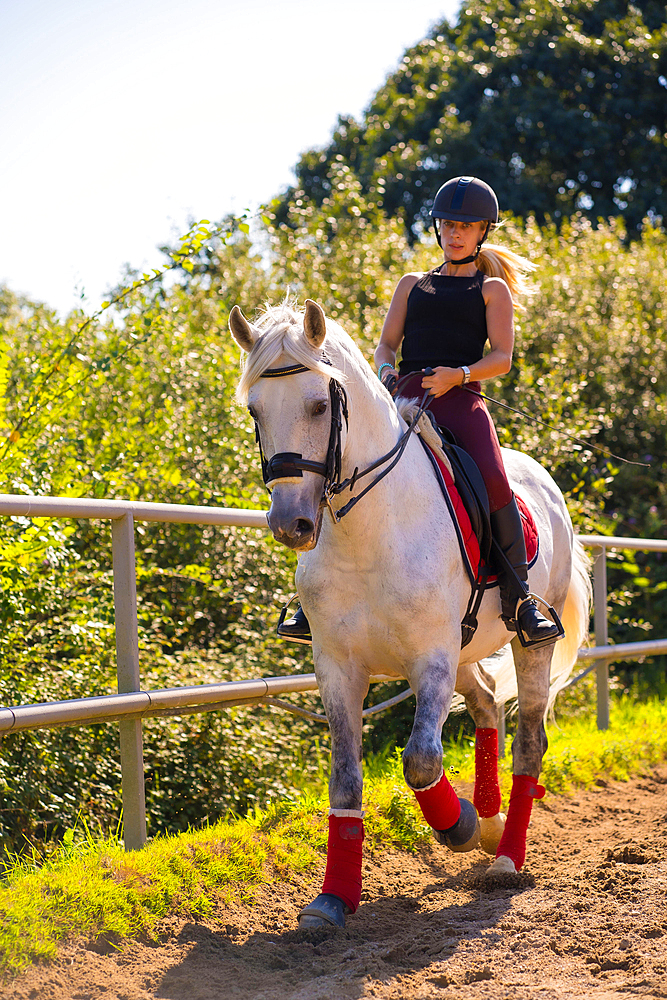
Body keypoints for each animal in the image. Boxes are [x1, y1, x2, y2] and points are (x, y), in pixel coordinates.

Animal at [228, 296, 588, 928]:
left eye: (319, 404)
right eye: (255, 410)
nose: (291, 524)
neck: (368, 535)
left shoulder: (431, 660)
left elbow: (420, 760)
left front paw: (458, 826)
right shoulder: (338, 668)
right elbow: (345, 781)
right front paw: (332, 901)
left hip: (526, 645)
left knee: (529, 740)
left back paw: (504, 856)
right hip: (467, 650)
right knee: (488, 706)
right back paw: (491, 824)